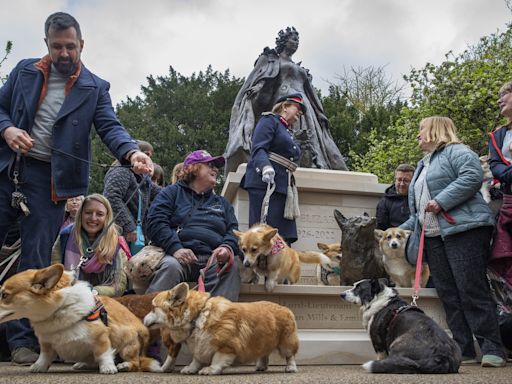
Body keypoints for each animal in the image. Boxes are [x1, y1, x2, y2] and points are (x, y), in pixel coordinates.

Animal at [0, 266, 161, 374]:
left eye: (4, 295)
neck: (60, 308)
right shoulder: (46, 342)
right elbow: (44, 357)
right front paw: (39, 367)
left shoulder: (101, 336)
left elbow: (103, 353)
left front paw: (108, 368)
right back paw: (83, 364)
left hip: (128, 345)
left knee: (136, 362)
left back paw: (124, 365)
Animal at [144, 282, 298, 376]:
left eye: (153, 308)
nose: (143, 320)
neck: (197, 316)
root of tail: (285, 308)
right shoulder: (200, 346)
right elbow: (196, 359)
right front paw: (190, 369)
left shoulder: (226, 346)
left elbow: (217, 359)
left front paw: (210, 369)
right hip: (263, 339)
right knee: (263, 353)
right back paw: (261, 366)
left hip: (286, 344)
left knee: (290, 356)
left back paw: (290, 368)